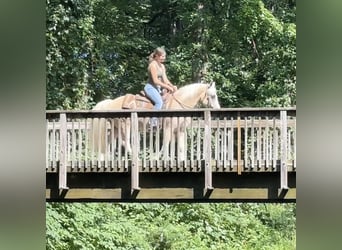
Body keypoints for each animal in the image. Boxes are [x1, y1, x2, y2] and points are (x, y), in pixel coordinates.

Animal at [89, 81, 220, 160]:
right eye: (213, 96)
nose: (218, 109)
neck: (178, 103)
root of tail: (110, 102)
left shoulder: (180, 130)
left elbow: (181, 147)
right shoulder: (168, 128)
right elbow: (165, 144)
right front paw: (158, 158)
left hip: (116, 128)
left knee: (108, 142)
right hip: (125, 126)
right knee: (124, 141)